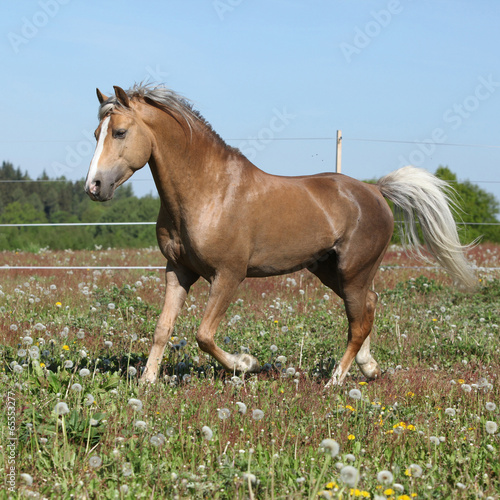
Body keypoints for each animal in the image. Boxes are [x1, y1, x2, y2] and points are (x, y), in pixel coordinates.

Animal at [84, 84, 474, 386]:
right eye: (96, 134)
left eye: (120, 132)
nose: (94, 186)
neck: (208, 191)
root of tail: (375, 191)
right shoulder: (178, 270)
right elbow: (163, 328)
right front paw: (148, 382)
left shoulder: (229, 275)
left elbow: (204, 335)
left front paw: (247, 363)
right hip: (331, 271)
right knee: (368, 307)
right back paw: (369, 368)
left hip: (353, 272)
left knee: (358, 322)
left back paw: (335, 380)